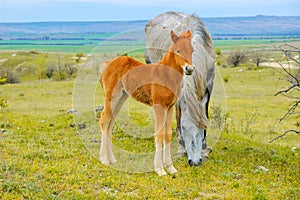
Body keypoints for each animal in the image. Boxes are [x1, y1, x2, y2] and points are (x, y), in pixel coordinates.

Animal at [100, 29, 195, 175]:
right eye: (178, 50)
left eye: (192, 50)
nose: (189, 69)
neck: (167, 75)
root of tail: (107, 64)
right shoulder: (159, 106)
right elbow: (159, 134)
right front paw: (160, 169)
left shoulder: (170, 107)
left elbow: (168, 134)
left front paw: (170, 168)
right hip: (112, 97)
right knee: (104, 120)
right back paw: (104, 160)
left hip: (121, 98)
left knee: (110, 123)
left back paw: (112, 159)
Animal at [145, 11, 216, 166]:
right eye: (184, 128)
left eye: (203, 127)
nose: (194, 162)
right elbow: (178, 117)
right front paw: (182, 148)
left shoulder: (208, 86)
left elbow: (205, 113)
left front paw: (204, 150)